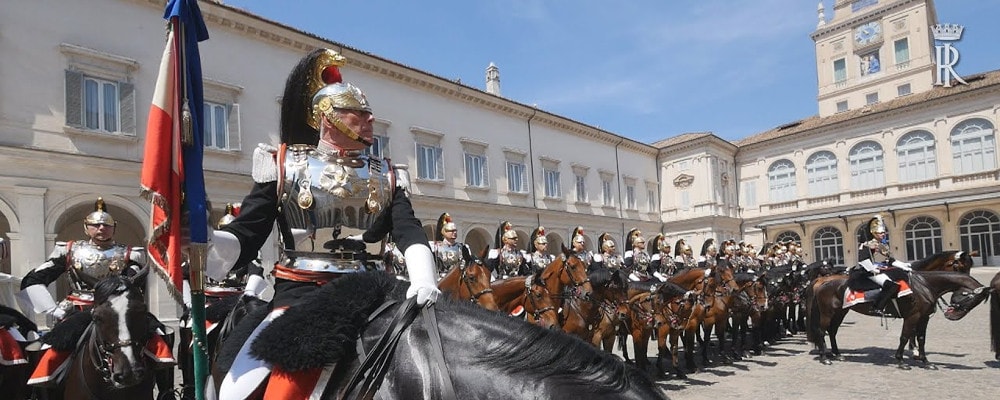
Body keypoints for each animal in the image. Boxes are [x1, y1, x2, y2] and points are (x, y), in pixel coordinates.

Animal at [804, 268, 992, 368]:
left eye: (977, 301)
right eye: (972, 298)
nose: (952, 315)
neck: (924, 285)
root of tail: (822, 281)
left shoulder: (924, 318)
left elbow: (921, 339)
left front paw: (926, 362)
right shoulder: (912, 316)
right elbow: (904, 337)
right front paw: (901, 361)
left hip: (841, 312)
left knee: (832, 331)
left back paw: (837, 354)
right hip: (828, 313)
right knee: (821, 331)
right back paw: (824, 358)